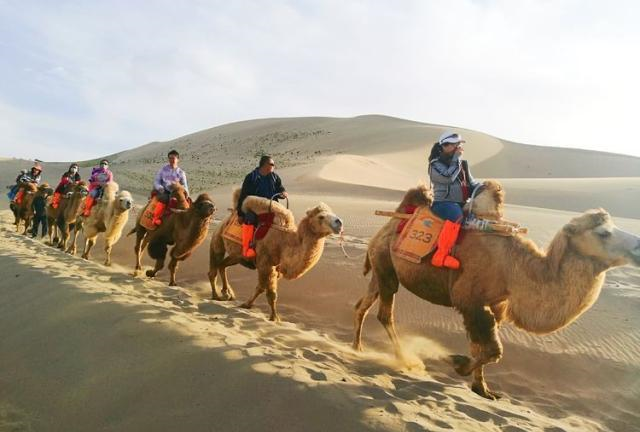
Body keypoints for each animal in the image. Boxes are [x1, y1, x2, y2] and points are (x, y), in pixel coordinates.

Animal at [208, 191, 342, 322]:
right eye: (321, 217)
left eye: (333, 212)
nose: (339, 222)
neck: (284, 242)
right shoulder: (265, 263)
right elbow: (271, 293)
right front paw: (275, 318)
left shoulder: (276, 269)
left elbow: (261, 287)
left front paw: (247, 305)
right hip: (217, 239)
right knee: (213, 269)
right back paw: (216, 296)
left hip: (237, 256)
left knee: (223, 265)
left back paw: (227, 293)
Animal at [356, 181, 640, 398]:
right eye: (603, 233)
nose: (638, 245)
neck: (514, 268)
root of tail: (389, 224)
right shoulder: (469, 300)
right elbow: (493, 350)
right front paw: (458, 363)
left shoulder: (495, 305)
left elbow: (481, 348)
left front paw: (482, 389)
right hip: (387, 268)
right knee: (385, 313)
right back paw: (405, 359)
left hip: (381, 268)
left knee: (363, 304)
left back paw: (357, 347)